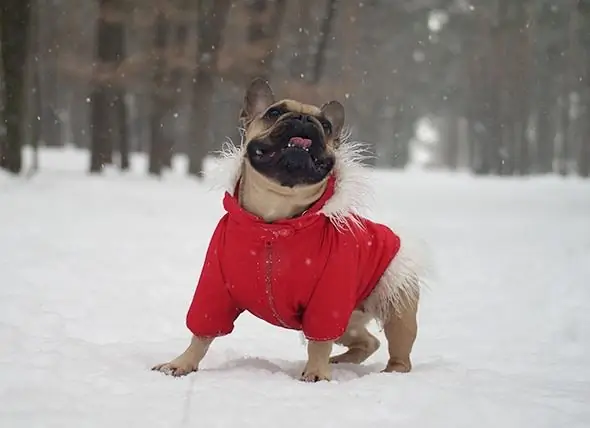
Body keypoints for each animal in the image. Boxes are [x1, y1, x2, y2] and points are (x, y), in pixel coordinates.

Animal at [153, 78, 428, 382]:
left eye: (326, 125)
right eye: (274, 112)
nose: (304, 119)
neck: (274, 219)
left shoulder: (328, 300)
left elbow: (319, 341)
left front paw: (317, 373)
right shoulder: (215, 284)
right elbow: (202, 332)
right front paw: (182, 363)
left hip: (395, 306)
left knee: (397, 349)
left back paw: (389, 373)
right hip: (349, 321)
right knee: (368, 341)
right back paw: (341, 361)